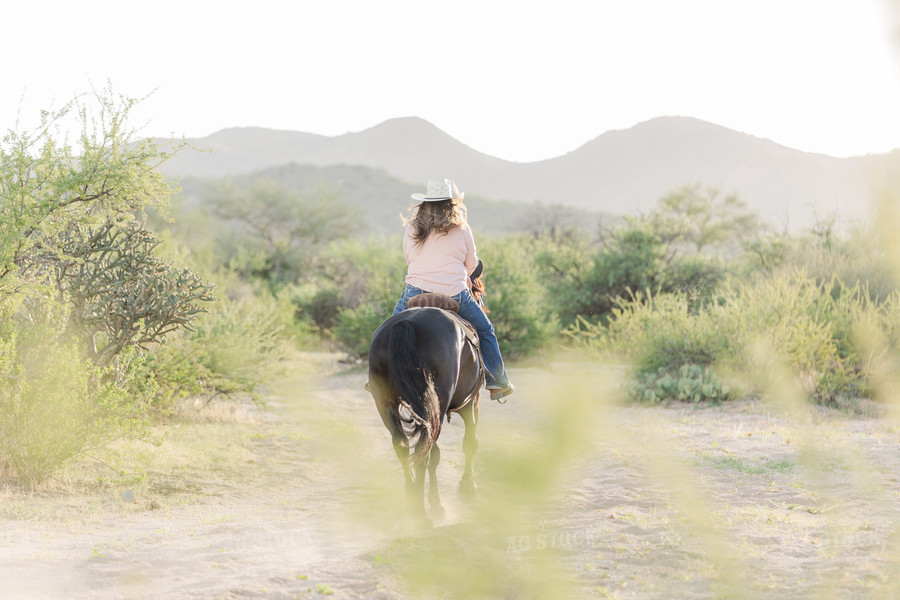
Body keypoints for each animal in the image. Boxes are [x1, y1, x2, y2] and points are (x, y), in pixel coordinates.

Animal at [368, 308, 486, 524]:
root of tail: (407, 324)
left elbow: (437, 455)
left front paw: (436, 501)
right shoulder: (470, 403)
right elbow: (470, 442)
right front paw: (467, 487)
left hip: (387, 404)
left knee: (404, 446)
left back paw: (412, 496)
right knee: (423, 451)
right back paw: (420, 513)